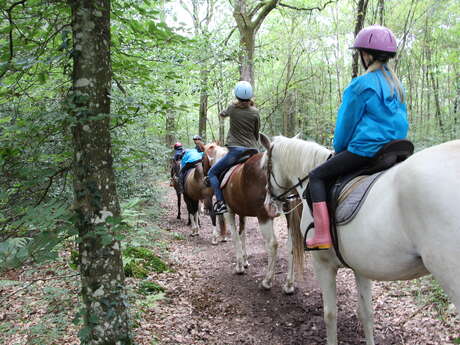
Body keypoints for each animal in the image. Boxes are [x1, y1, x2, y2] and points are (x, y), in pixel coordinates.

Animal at [200, 136, 302, 290]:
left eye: (202, 159)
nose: (205, 179)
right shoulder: (242, 213)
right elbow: (242, 235)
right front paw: (245, 260)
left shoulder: (229, 212)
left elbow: (235, 237)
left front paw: (240, 266)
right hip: (289, 215)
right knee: (291, 244)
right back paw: (289, 284)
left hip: (264, 216)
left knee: (272, 244)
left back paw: (267, 281)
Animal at [260, 134, 458, 344]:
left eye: (264, 167)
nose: (268, 205)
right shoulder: (361, 266)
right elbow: (366, 314)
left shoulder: (322, 264)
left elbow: (330, 314)